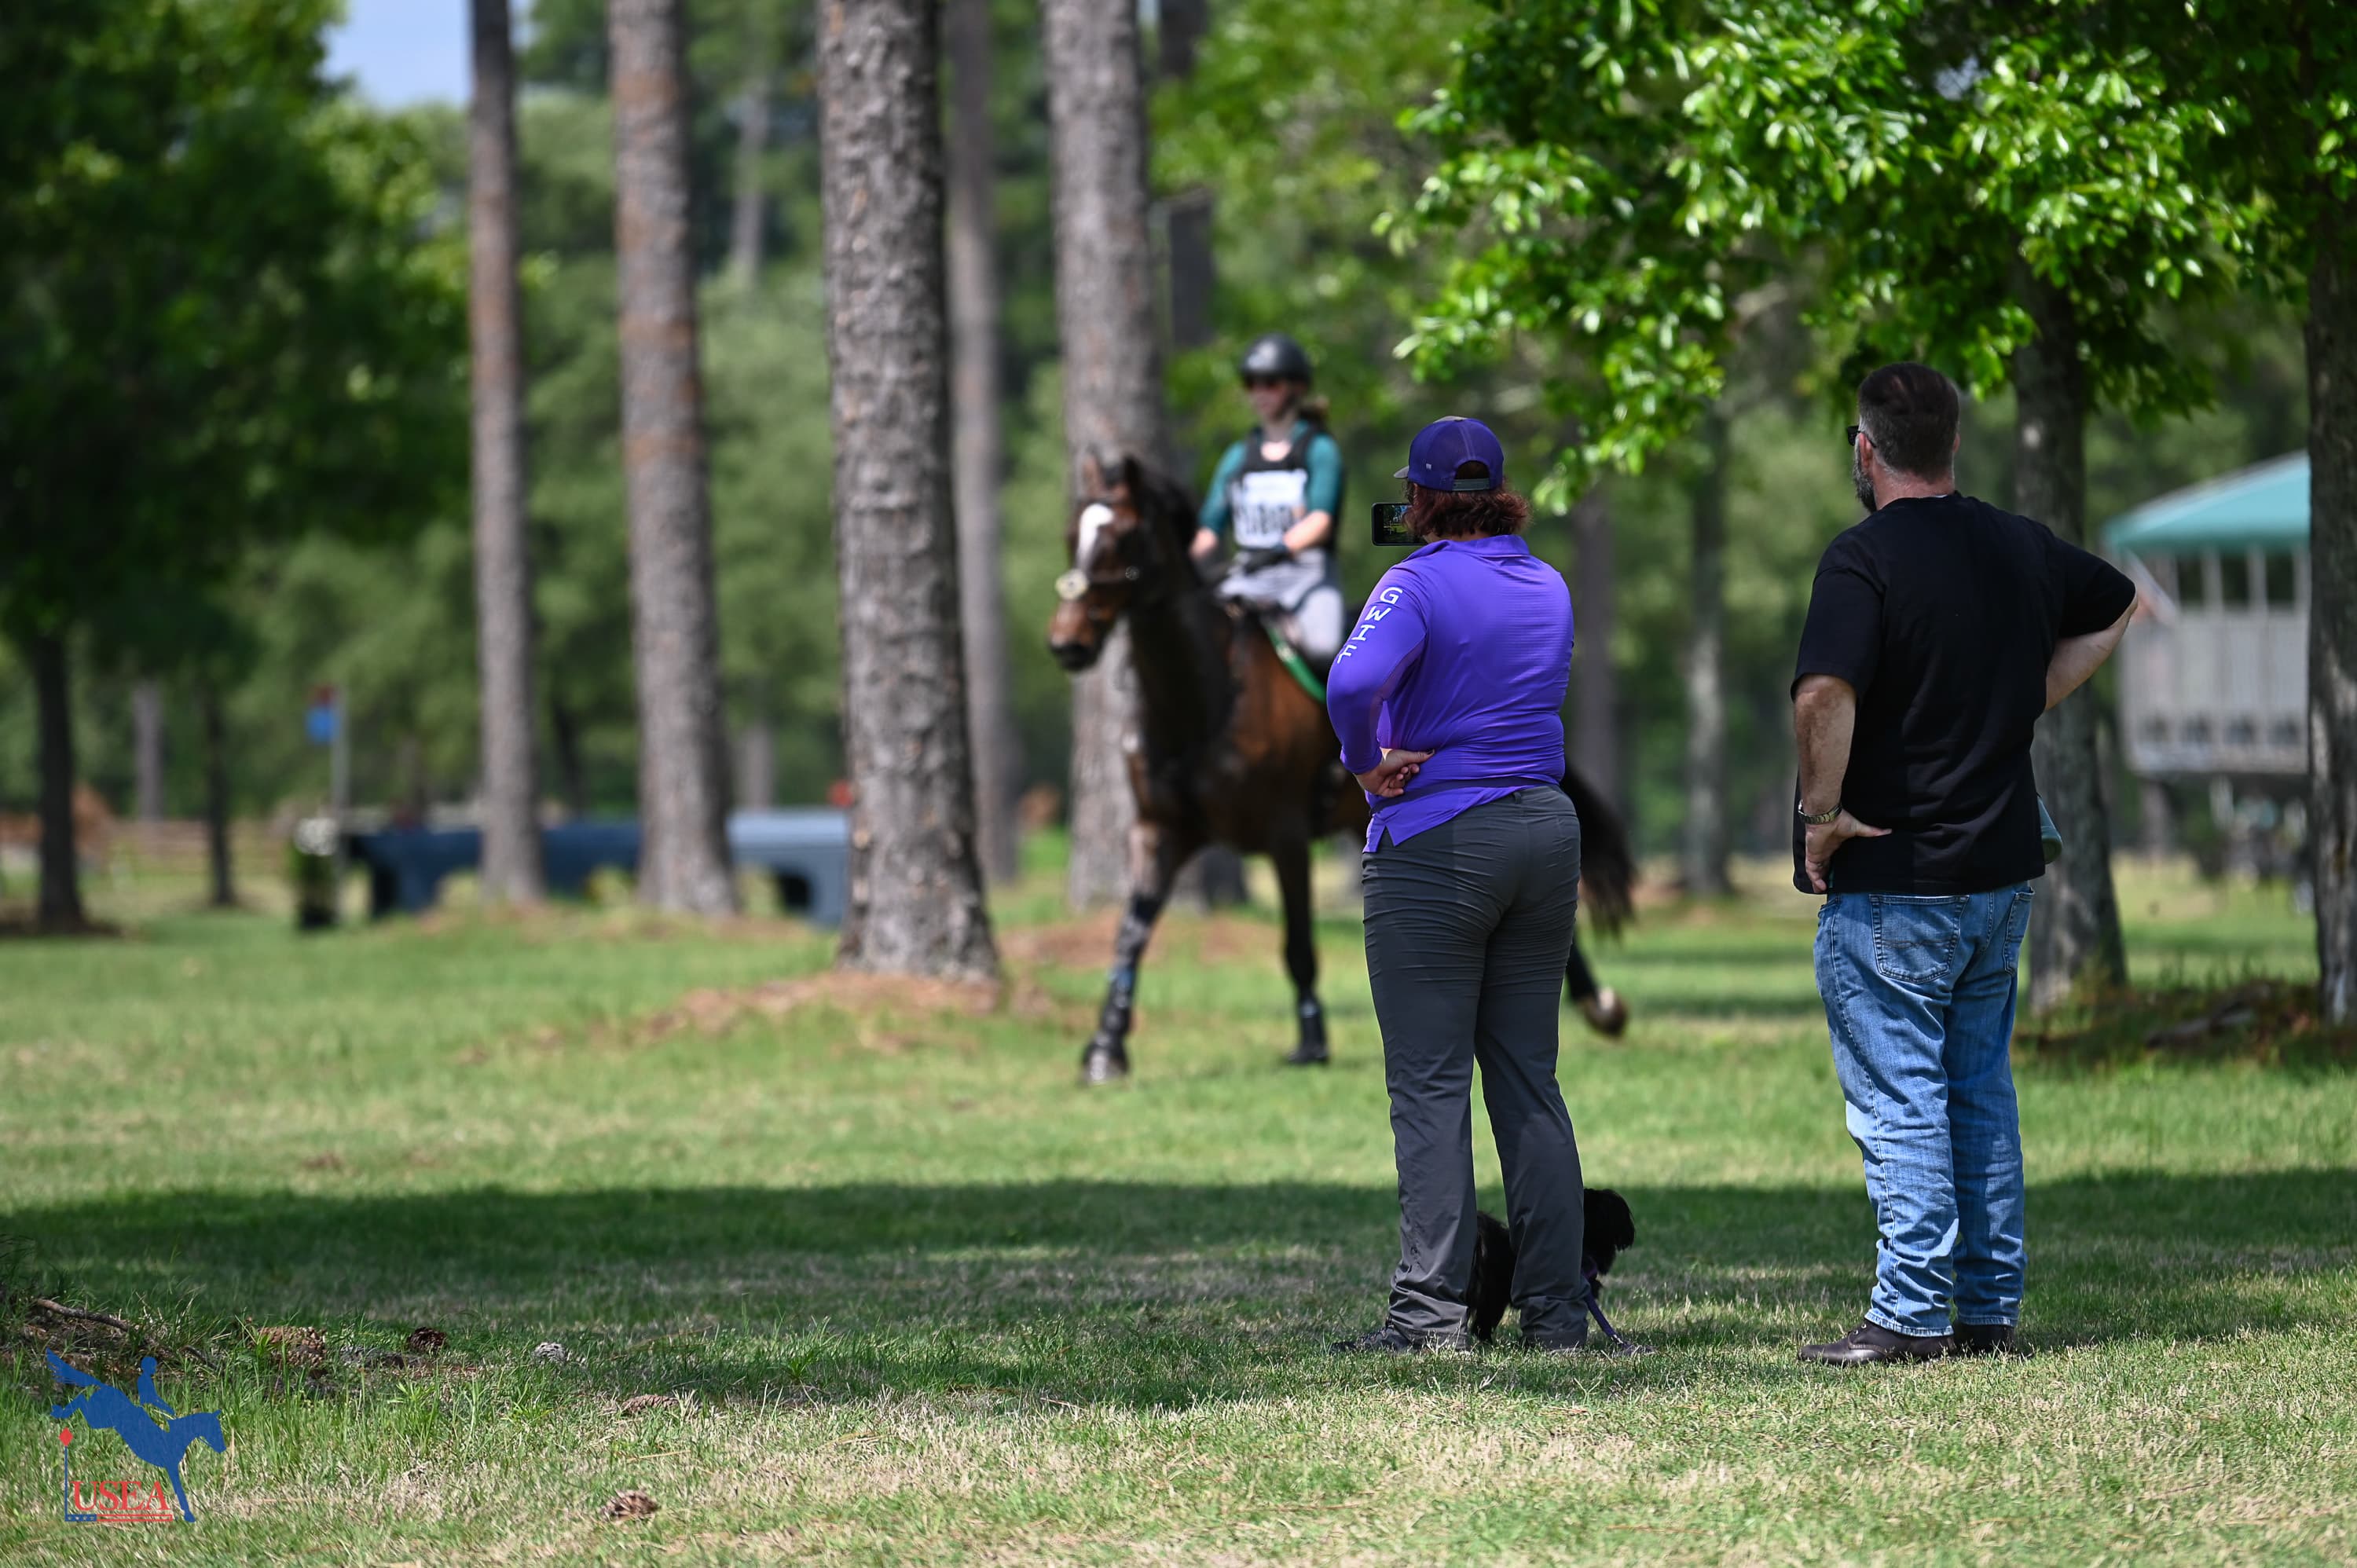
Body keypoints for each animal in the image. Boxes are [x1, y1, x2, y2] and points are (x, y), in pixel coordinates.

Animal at [49, 1353, 223, 1523]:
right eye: (215, 1429)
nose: (223, 1448)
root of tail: (105, 1386)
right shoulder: (171, 1466)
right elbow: (179, 1491)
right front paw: (187, 1514)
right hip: (98, 1419)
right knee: (82, 1400)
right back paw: (60, 1411)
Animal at [1045, 453, 1635, 1083]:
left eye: (1123, 536)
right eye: (1072, 534)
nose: (1066, 644)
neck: (1200, 704)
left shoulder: (1285, 835)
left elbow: (1298, 944)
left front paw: (1312, 1041)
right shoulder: (1160, 833)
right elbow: (1131, 933)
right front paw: (1106, 1047)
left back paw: (1598, 1005)